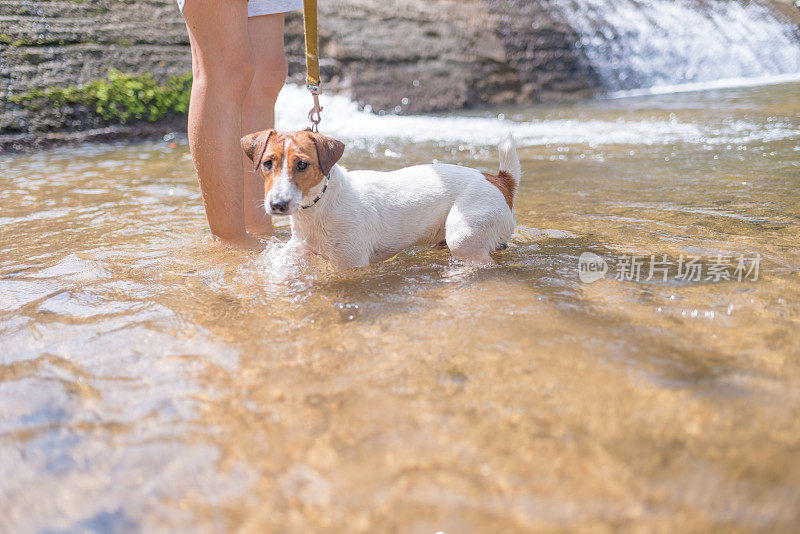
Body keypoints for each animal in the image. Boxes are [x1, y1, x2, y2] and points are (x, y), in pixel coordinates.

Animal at [241, 130, 520, 272]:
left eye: (301, 164)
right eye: (267, 163)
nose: (277, 205)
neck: (320, 205)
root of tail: (499, 179)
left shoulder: (350, 264)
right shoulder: (300, 246)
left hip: (462, 238)